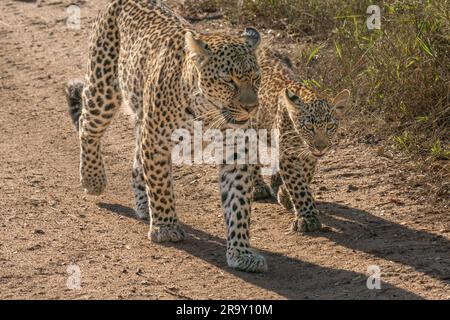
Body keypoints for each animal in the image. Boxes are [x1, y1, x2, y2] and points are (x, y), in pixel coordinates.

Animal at [65, 0, 266, 272]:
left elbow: (238, 203)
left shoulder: (235, 151)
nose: (251, 107)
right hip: (103, 87)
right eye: (228, 80)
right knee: (88, 125)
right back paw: (92, 179)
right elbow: (161, 185)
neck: (207, 112)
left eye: (256, 77)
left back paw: (142, 205)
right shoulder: (156, 141)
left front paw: (242, 251)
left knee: (136, 157)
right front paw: (166, 227)